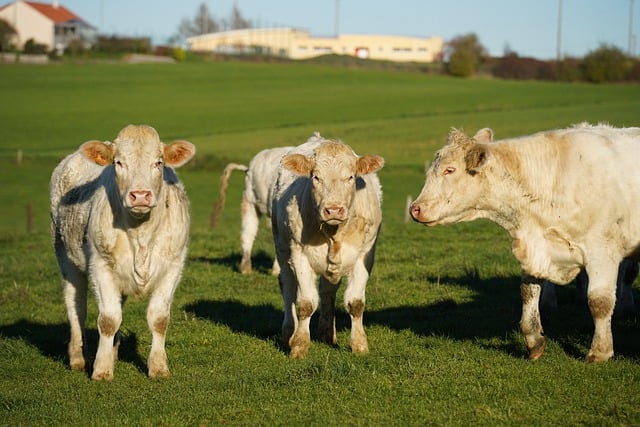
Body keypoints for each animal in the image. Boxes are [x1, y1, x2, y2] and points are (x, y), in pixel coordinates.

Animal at [49, 124, 195, 382]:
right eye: (118, 162)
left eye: (158, 162)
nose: (140, 195)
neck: (141, 234)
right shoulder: (100, 265)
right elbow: (108, 319)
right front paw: (101, 369)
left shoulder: (173, 267)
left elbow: (159, 319)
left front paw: (158, 367)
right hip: (66, 257)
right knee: (76, 306)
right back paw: (78, 357)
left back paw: (114, 350)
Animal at [272, 134, 382, 358]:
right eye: (316, 177)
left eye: (351, 177)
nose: (333, 209)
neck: (334, 233)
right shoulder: (299, 255)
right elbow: (305, 303)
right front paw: (299, 346)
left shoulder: (365, 256)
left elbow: (355, 303)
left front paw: (359, 345)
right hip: (282, 248)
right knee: (288, 288)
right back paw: (289, 333)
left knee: (327, 291)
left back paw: (326, 333)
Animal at [410, 123, 640, 364]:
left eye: (450, 170)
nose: (415, 209)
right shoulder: (536, 249)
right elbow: (528, 292)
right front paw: (534, 340)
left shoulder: (602, 251)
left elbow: (599, 301)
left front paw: (599, 351)